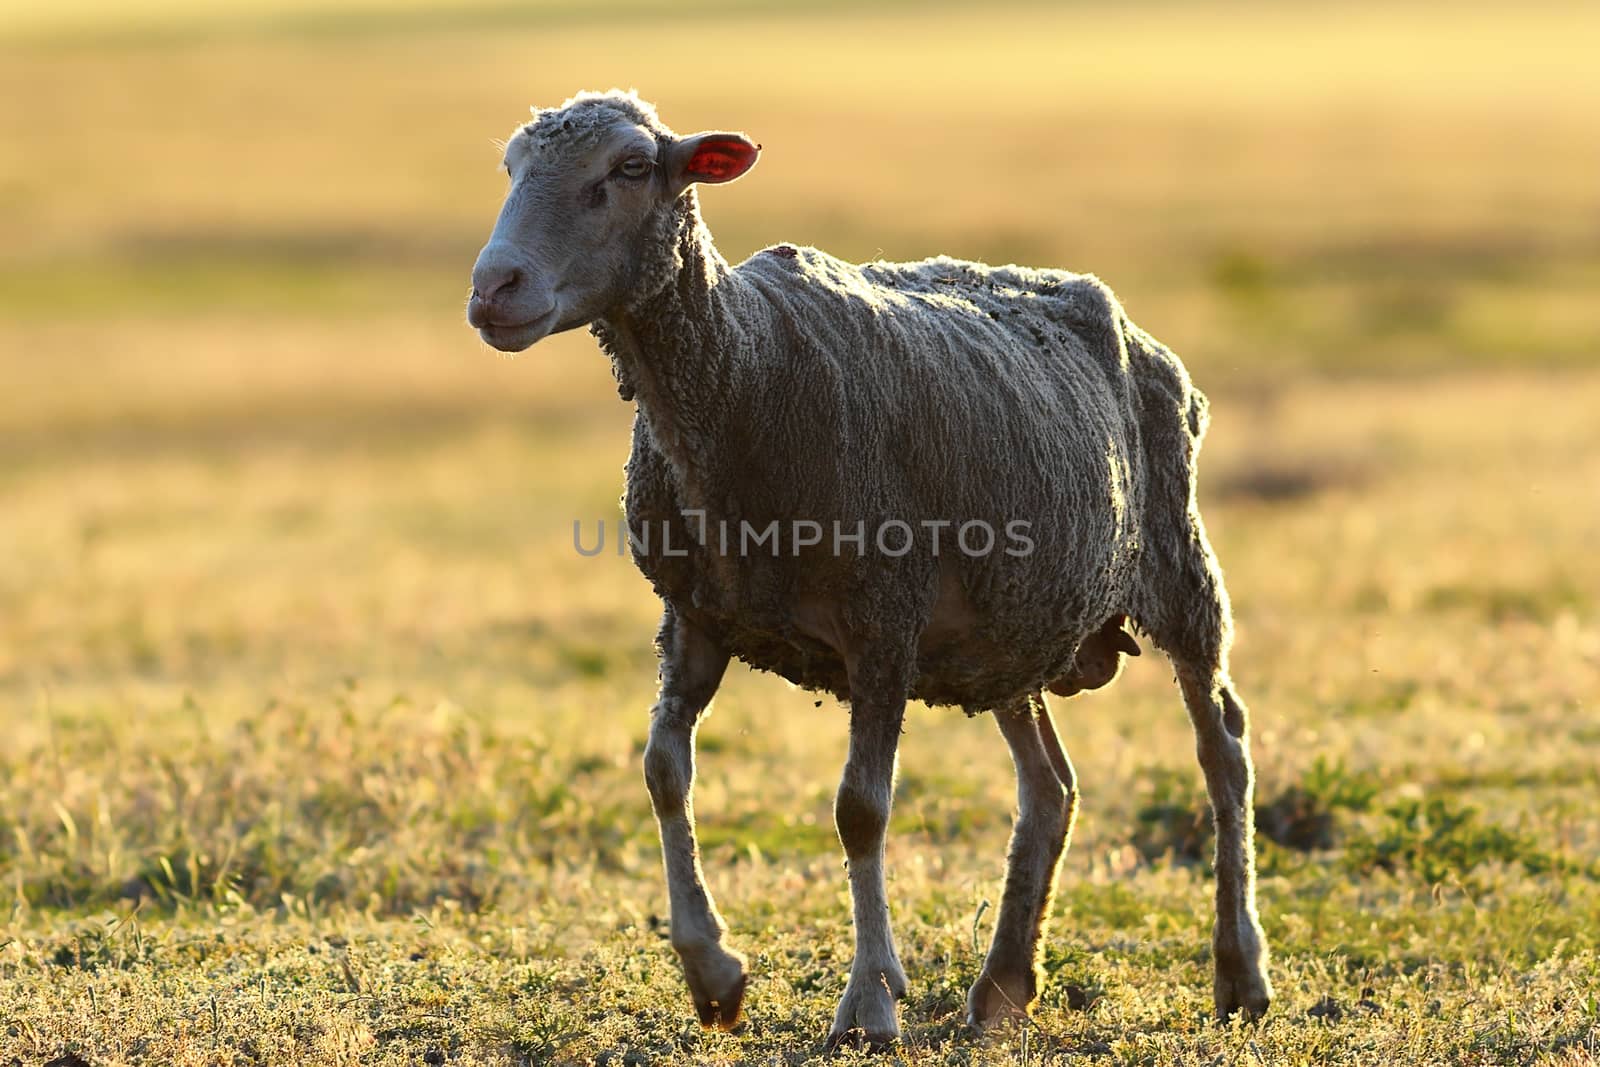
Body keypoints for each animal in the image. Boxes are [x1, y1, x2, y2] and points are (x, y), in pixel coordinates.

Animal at [467, 91, 1273, 1049]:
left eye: (629, 168)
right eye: (510, 167)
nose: (493, 289)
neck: (743, 373)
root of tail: (1159, 354)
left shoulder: (884, 616)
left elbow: (860, 808)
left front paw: (870, 1002)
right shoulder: (695, 613)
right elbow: (664, 769)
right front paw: (713, 974)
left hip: (1179, 567)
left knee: (1223, 746)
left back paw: (1241, 974)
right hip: (1013, 629)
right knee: (1051, 786)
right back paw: (1002, 987)